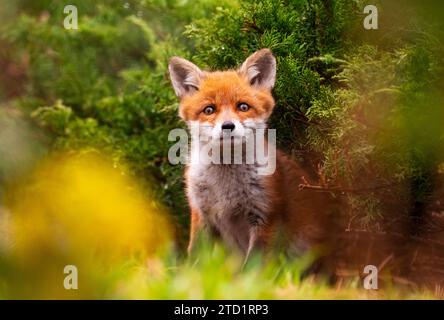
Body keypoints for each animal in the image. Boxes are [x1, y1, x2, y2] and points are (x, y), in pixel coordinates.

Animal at [168, 48, 334, 262]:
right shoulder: (201, 214)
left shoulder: (265, 216)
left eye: (243, 107)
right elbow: (195, 259)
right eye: (209, 110)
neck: (226, 187)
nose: (228, 126)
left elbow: (253, 265)